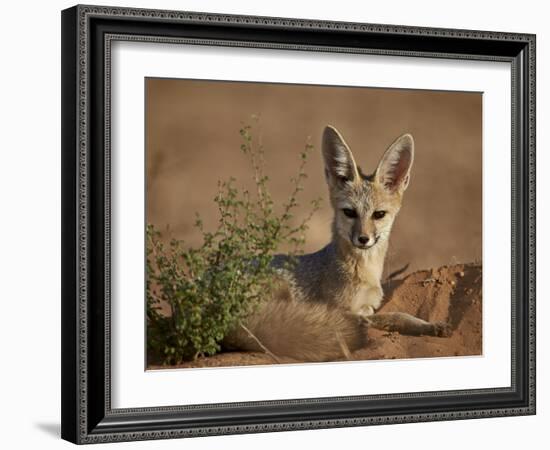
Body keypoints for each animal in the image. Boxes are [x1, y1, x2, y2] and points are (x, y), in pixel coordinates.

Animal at [222, 125, 450, 362]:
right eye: (349, 212)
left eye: (379, 214)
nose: (363, 239)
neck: (364, 271)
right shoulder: (344, 309)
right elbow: (392, 316)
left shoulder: (368, 306)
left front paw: (429, 325)